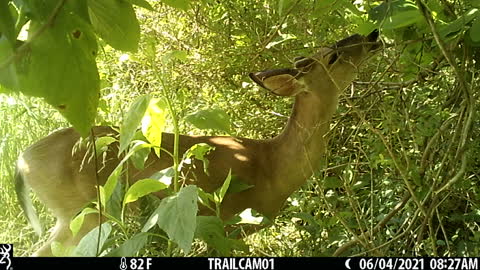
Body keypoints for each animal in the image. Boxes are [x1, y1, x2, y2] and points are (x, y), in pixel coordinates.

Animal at [14, 30, 378, 256]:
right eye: (332, 57)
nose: (372, 37)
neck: (271, 166)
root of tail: (22, 161)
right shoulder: (226, 223)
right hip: (82, 214)